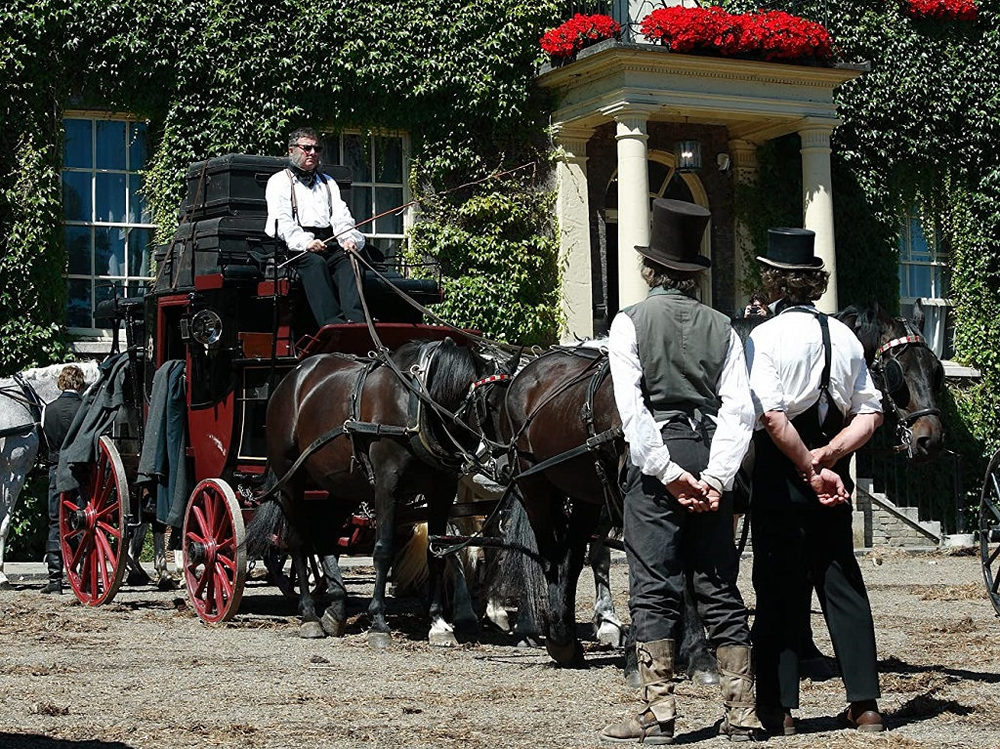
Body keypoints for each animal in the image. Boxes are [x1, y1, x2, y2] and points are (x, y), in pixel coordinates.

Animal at [247, 336, 504, 644]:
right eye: (489, 404)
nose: (506, 462)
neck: (417, 404)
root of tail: (292, 378)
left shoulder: (442, 489)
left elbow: (437, 551)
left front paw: (438, 623)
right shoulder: (386, 484)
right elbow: (383, 550)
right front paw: (379, 623)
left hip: (338, 485)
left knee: (324, 537)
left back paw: (336, 608)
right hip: (292, 480)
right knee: (298, 540)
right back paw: (309, 615)